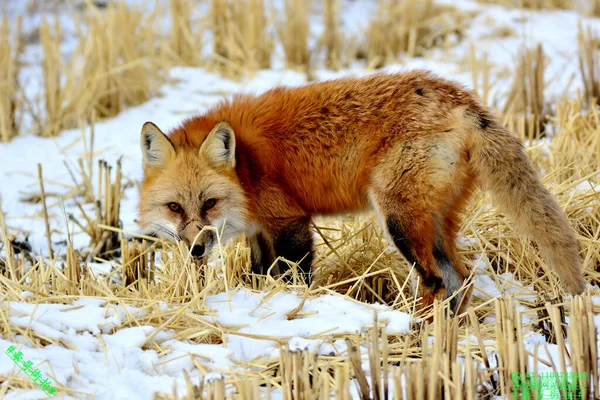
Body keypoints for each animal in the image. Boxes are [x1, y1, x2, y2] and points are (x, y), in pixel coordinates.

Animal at [138, 70, 584, 314]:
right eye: (175, 207)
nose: (196, 249)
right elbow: (259, 275)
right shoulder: (260, 232)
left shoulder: (289, 222)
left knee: (436, 282)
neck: (245, 171)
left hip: (398, 220)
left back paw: (415, 335)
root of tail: (459, 98)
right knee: (461, 280)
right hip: (434, 221)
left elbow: (296, 278)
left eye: (210, 203)